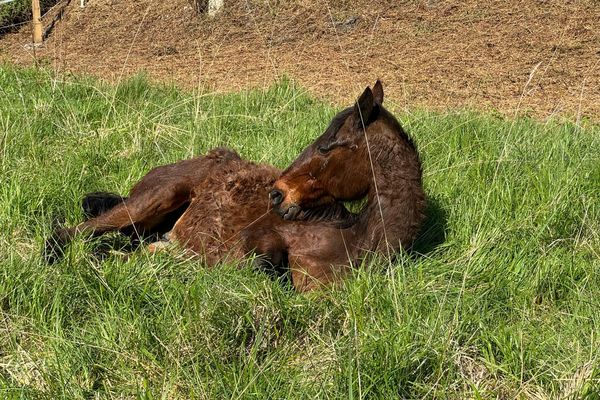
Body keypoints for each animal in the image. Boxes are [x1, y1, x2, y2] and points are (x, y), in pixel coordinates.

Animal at [44, 81, 424, 292]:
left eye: (327, 147)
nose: (277, 193)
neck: (354, 240)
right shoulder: (259, 241)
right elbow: (265, 267)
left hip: (153, 231)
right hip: (152, 200)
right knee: (72, 233)